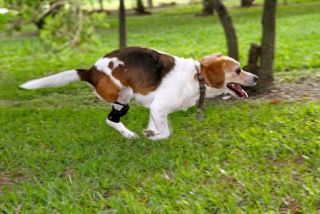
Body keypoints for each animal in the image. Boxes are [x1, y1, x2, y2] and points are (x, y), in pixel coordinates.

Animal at [20, 46, 258, 140]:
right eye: (238, 70)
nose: (255, 78)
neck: (196, 76)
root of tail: (91, 71)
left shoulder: (155, 109)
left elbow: (156, 125)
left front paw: (151, 133)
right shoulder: (159, 107)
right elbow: (166, 133)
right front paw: (153, 137)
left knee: (111, 119)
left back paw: (130, 135)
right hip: (122, 96)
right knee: (111, 119)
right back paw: (130, 135)